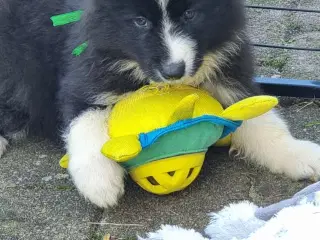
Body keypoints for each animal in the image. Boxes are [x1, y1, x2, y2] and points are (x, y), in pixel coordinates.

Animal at [0, 0, 320, 207]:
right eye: (140, 22)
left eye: (191, 15)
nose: (173, 70)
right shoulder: (88, 70)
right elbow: (84, 120)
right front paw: (100, 181)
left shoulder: (229, 69)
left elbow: (262, 118)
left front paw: (297, 154)